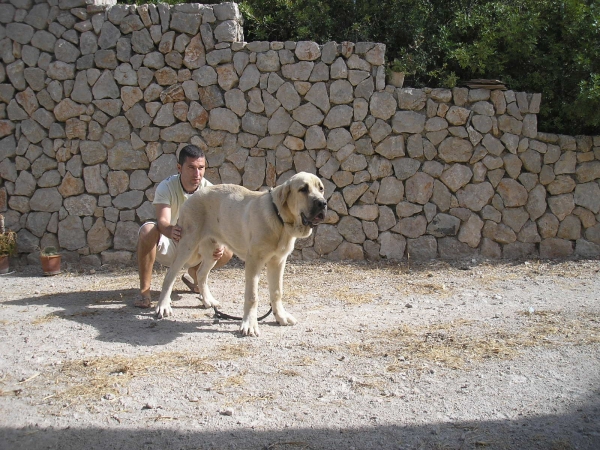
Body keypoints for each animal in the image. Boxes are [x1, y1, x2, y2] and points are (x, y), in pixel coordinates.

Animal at [152, 171, 326, 334]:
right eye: (303, 189)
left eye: (321, 189)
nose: (323, 203)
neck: (280, 219)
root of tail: (191, 197)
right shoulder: (253, 262)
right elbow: (252, 296)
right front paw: (249, 324)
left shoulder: (278, 262)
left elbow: (277, 292)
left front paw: (280, 316)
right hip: (187, 246)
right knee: (170, 275)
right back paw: (163, 306)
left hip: (213, 251)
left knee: (201, 274)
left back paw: (208, 300)